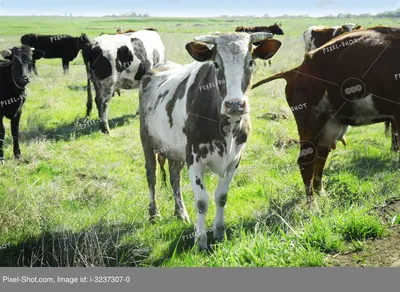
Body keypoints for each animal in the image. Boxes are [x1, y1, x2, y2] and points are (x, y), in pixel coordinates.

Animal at [138, 32, 282, 251]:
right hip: (147, 141)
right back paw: (154, 213)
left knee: (174, 177)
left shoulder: (234, 160)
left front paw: (219, 232)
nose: (235, 104)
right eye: (216, 64)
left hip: (175, 151)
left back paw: (180, 212)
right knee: (151, 176)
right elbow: (202, 201)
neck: (227, 128)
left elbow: (221, 197)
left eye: (250, 61)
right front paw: (201, 240)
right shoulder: (194, 158)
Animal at [253, 27, 400, 204]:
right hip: (310, 123)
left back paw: (321, 193)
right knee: (305, 161)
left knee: (320, 156)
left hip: (329, 124)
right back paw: (312, 204)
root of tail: (297, 70)